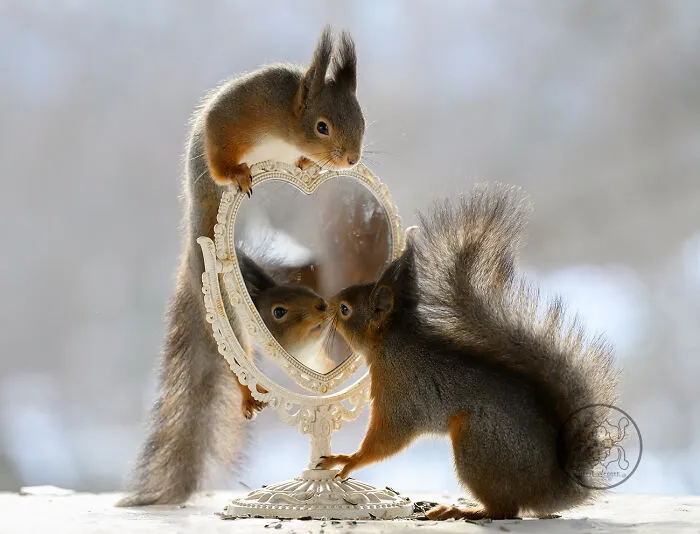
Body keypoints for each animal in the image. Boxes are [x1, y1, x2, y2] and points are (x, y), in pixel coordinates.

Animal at [117, 26, 365, 507]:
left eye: (361, 119)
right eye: (322, 127)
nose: (351, 160)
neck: (286, 120)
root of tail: (193, 253)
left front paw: (304, 163)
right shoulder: (235, 115)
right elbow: (218, 151)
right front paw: (237, 175)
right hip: (228, 307)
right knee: (233, 358)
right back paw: (247, 396)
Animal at [319, 183, 619, 520]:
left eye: (345, 310)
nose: (327, 304)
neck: (391, 345)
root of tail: (548, 489)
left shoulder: (400, 395)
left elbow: (387, 440)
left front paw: (348, 461)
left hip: (477, 439)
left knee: (505, 510)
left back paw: (461, 510)